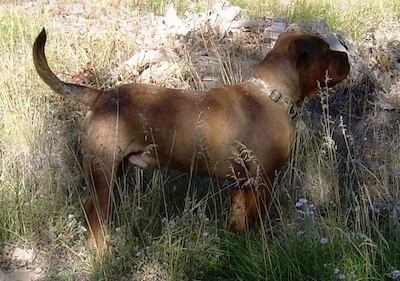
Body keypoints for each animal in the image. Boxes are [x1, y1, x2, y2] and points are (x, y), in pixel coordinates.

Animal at [32, 27, 348, 249]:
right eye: (325, 51)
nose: (345, 54)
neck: (272, 93)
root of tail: (100, 97)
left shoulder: (242, 184)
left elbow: (239, 217)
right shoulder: (263, 181)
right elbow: (256, 219)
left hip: (113, 172)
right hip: (104, 174)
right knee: (94, 216)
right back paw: (103, 252)